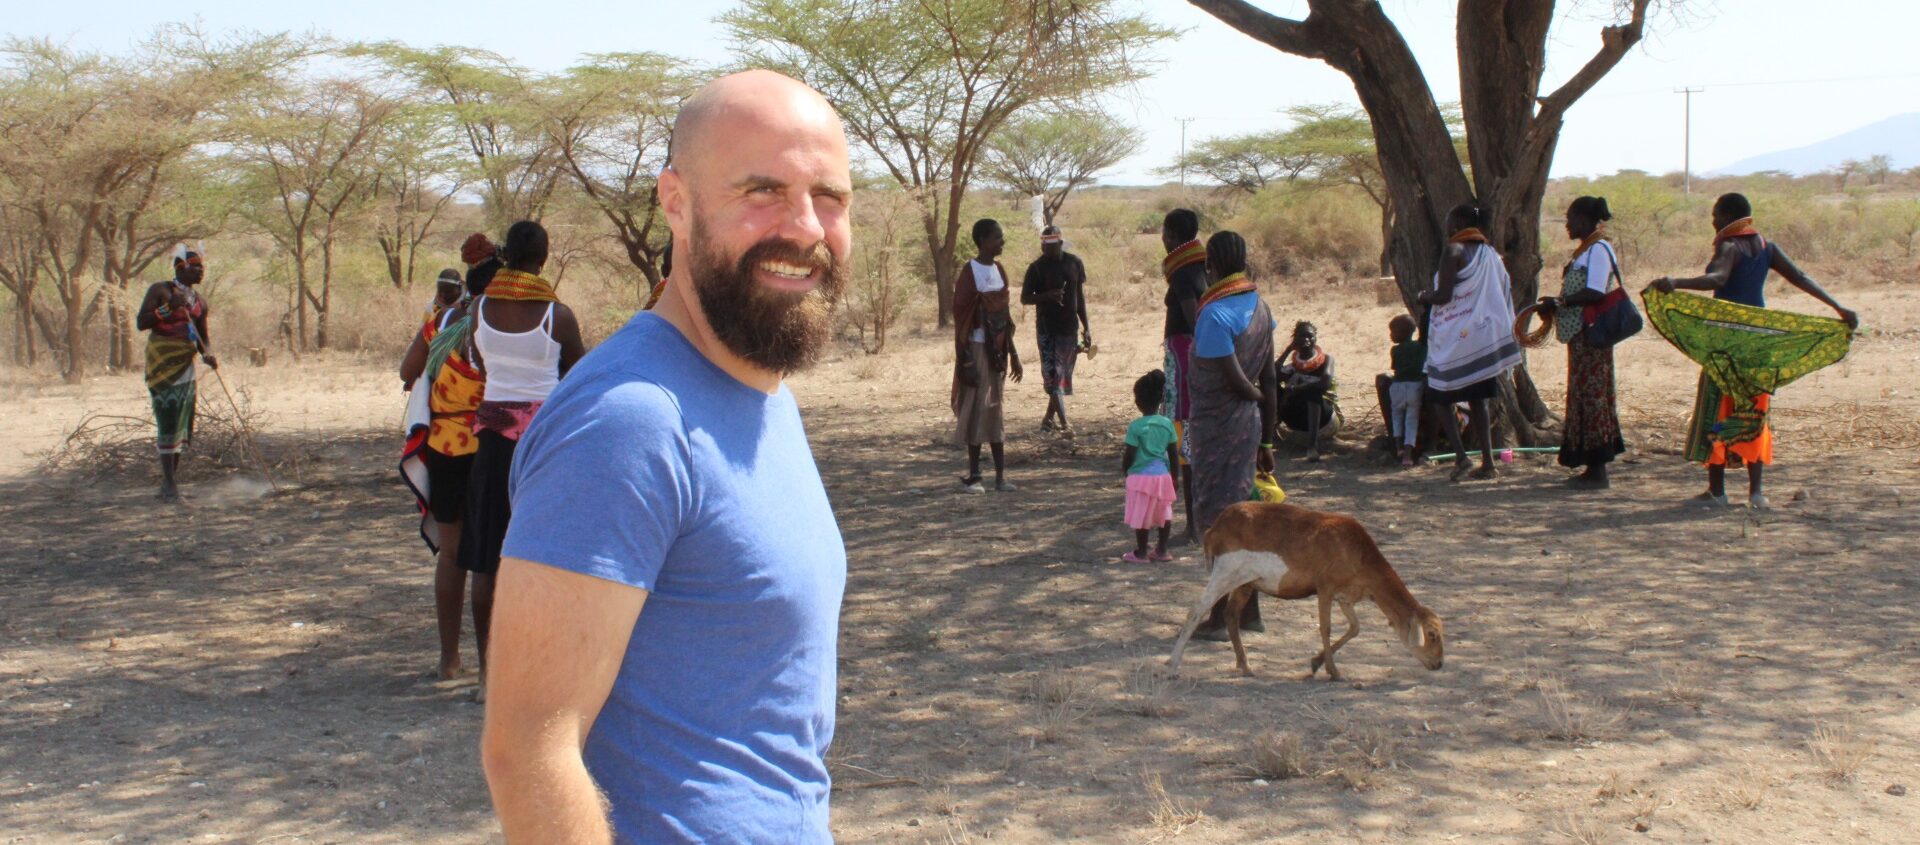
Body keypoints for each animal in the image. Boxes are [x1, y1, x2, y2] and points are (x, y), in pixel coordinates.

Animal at [1169, 502, 1444, 679]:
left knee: (1231, 615)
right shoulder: (1325, 587)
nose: (1439, 663)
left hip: (1245, 583)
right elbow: (1326, 627)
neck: (1359, 554)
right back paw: (1172, 665)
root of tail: (1214, 528)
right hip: (1225, 572)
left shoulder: (1346, 596)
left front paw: (1316, 663)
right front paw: (1333, 671)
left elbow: (1355, 628)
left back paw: (1245, 666)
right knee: (1196, 610)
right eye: (1431, 634)